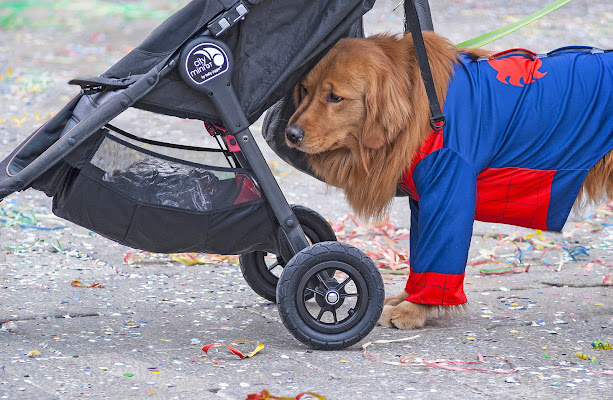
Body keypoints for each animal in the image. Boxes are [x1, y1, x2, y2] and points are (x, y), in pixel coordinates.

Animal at [284, 32, 612, 328]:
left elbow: (439, 257)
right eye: (305, 90)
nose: (291, 134)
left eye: (335, 97)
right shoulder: (422, 202)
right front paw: (406, 297)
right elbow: (421, 257)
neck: (426, 112)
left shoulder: (448, 192)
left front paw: (414, 310)